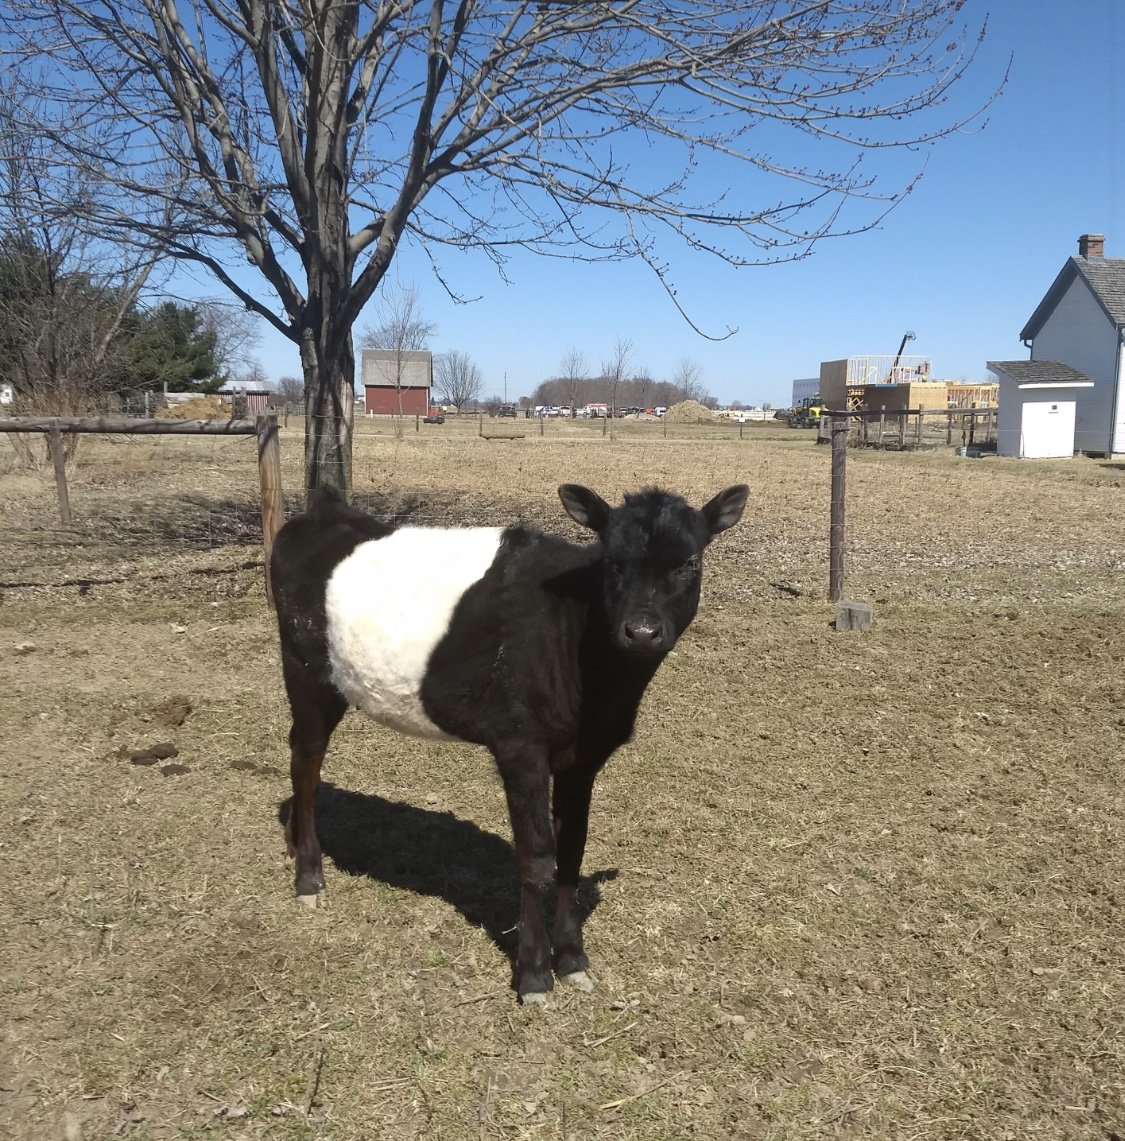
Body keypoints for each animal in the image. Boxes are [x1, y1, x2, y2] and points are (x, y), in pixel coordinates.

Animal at [271, 481, 748, 1004]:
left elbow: (571, 852)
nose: (642, 632)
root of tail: (324, 508)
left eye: (690, 562)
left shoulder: (584, 757)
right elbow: (537, 857)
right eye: (613, 561)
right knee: (306, 761)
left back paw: (295, 844)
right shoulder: (520, 745)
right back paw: (309, 877)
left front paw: (573, 961)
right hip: (307, 671)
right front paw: (535, 975)